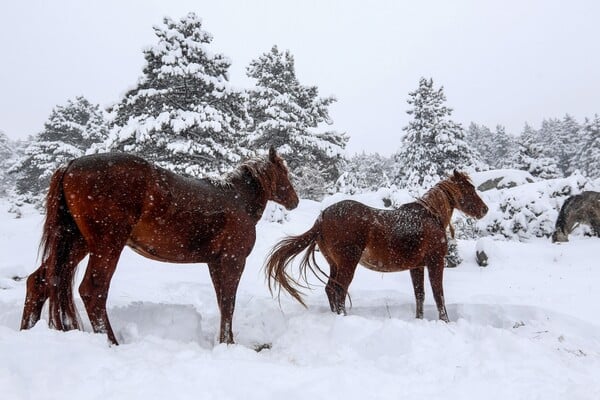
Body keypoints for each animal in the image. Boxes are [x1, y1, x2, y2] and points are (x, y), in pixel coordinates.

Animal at [21, 147, 298, 344]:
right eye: (284, 172)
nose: (295, 200)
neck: (236, 198)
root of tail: (69, 165)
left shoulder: (216, 263)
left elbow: (223, 302)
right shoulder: (233, 261)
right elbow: (229, 303)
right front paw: (227, 343)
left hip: (75, 244)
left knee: (40, 281)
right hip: (106, 245)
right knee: (93, 290)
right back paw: (111, 342)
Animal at [266, 171, 488, 322]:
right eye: (469, 189)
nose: (484, 209)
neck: (430, 216)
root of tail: (322, 217)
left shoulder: (417, 267)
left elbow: (420, 295)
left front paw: (419, 319)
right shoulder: (435, 263)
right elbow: (438, 295)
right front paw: (445, 321)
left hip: (335, 264)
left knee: (331, 289)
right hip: (347, 263)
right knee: (339, 291)